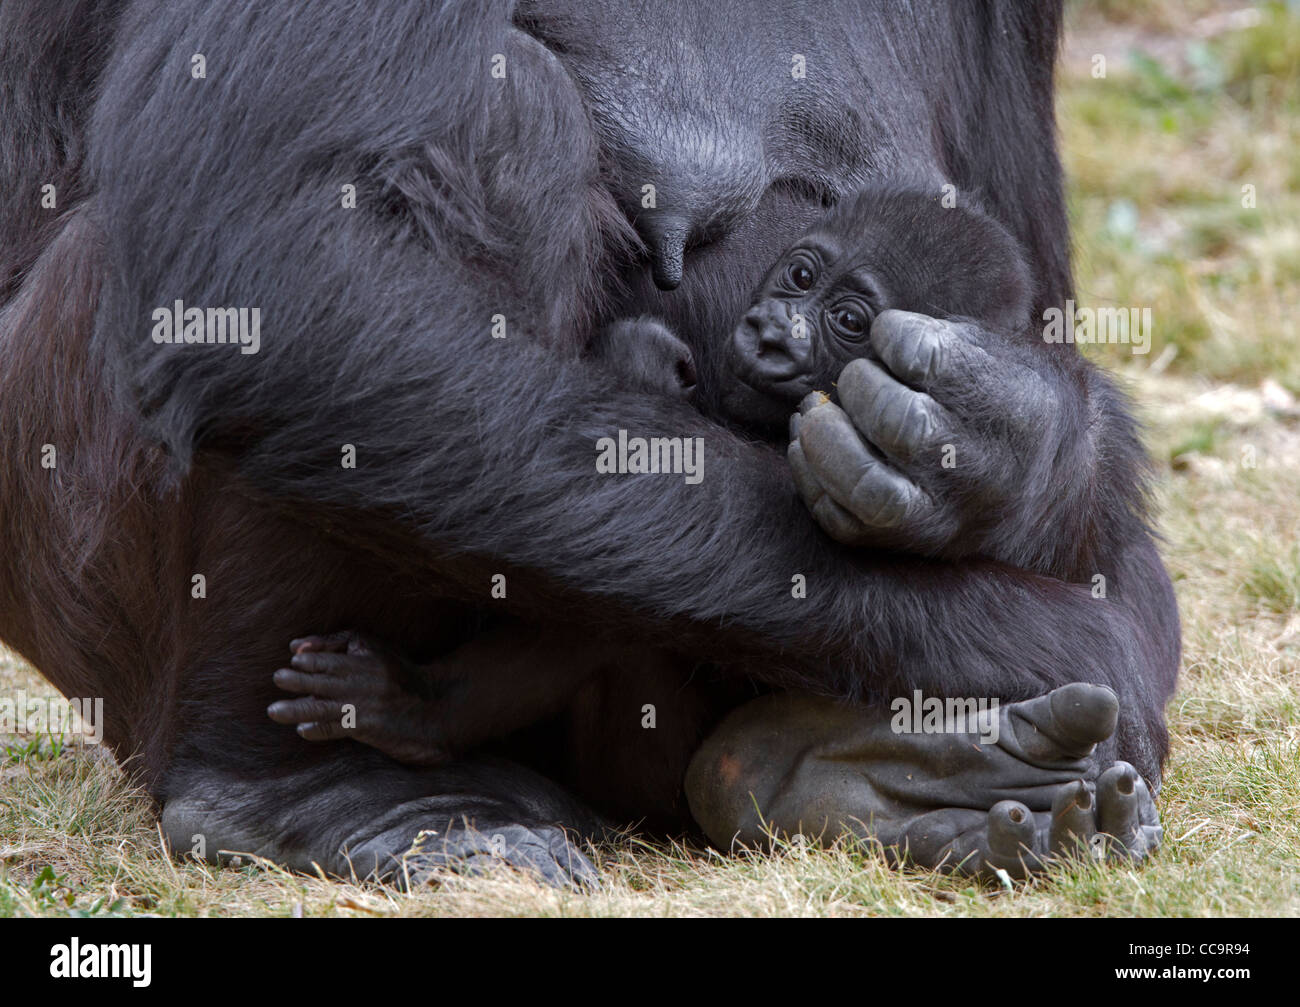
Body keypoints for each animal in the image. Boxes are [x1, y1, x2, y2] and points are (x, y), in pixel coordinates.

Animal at [0, 0, 1180, 883]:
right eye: (799, 277)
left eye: (843, 312)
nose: (771, 331)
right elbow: (266, 273)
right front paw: (1046, 640)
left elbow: (1030, 287)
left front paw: (1012, 443)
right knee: (497, 112)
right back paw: (294, 788)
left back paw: (855, 774)